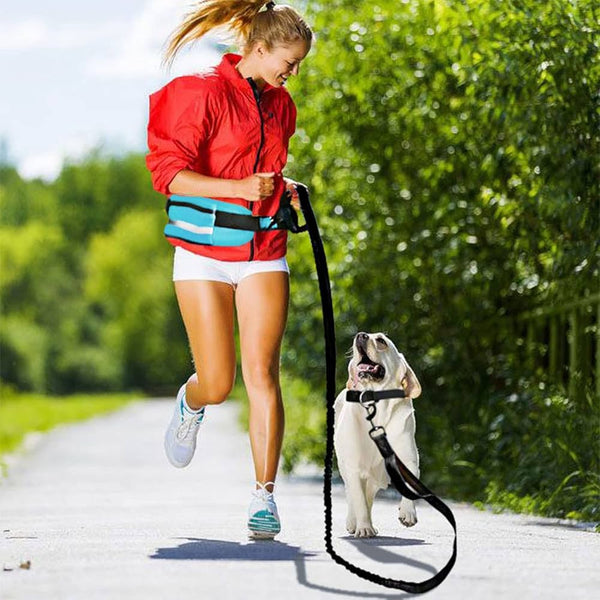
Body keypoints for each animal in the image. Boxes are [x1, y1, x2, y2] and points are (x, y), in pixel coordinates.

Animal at [332, 332, 422, 540]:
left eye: (381, 340)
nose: (360, 335)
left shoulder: (408, 459)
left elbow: (411, 484)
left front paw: (408, 513)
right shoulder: (354, 467)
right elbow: (358, 501)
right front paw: (363, 527)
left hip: (375, 477)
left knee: (369, 496)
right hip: (346, 467)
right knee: (354, 496)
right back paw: (355, 523)